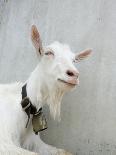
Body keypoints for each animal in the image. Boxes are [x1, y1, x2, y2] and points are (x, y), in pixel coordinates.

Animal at [0, 24, 91, 154]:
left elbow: (63, 151)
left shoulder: (34, 141)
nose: (74, 74)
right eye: (48, 53)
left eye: (74, 60)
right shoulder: (4, 143)